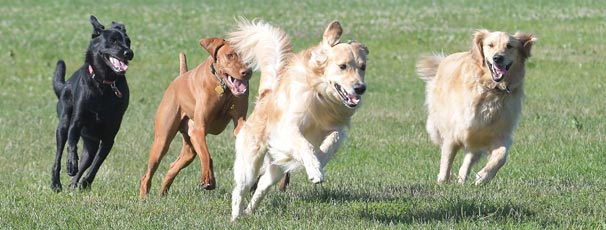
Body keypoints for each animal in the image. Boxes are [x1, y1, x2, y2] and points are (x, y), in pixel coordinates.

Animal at [51, 15, 134, 192]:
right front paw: (71, 163)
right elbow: (72, 145)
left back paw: (73, 185)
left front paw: (85, 183)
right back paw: (56, 183)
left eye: (128, 41)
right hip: (63, 124)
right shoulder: (76, 122)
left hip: (91, 143)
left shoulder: (109, 137)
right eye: (113, 40)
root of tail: (65, 84)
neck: (104, 84)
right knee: (58, 154)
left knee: (86, 161)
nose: (129, 53)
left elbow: (96, 164)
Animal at [140, 37, 252, 198]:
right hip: (162, 141)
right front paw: (207, 179)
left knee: (173, 166)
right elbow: (206, 155)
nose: (247, 72)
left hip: (189, 149)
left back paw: (162, 194)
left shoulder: (239, 123)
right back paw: (143, 198)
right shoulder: (199, 130)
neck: (222, 87)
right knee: (147, 174)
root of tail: (180, 77)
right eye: (230, 55)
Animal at [228, 18, 370, 220]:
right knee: (239, 190)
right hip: (250, 163)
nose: (360, 88)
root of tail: (265, 96)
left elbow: (331, 140)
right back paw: (236, 217)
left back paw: (249, 211)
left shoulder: (337, 128)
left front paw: (319, 161)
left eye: (362, 67)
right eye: (342, 66)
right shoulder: (287, 129)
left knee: (262, 185)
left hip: (276, 168)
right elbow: (305, 145)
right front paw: (315, 171)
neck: (322, 96)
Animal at [418, 30, 540, 185]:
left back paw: (462, 178)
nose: (497, 58)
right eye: (490, 45)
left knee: (469, 158)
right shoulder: (454, 132)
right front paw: (443, 181)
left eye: (509, 46)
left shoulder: (500, 134)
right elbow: (447, 158)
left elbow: (501, 157)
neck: (492, 90)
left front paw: (483, 176)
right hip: (437, 125)